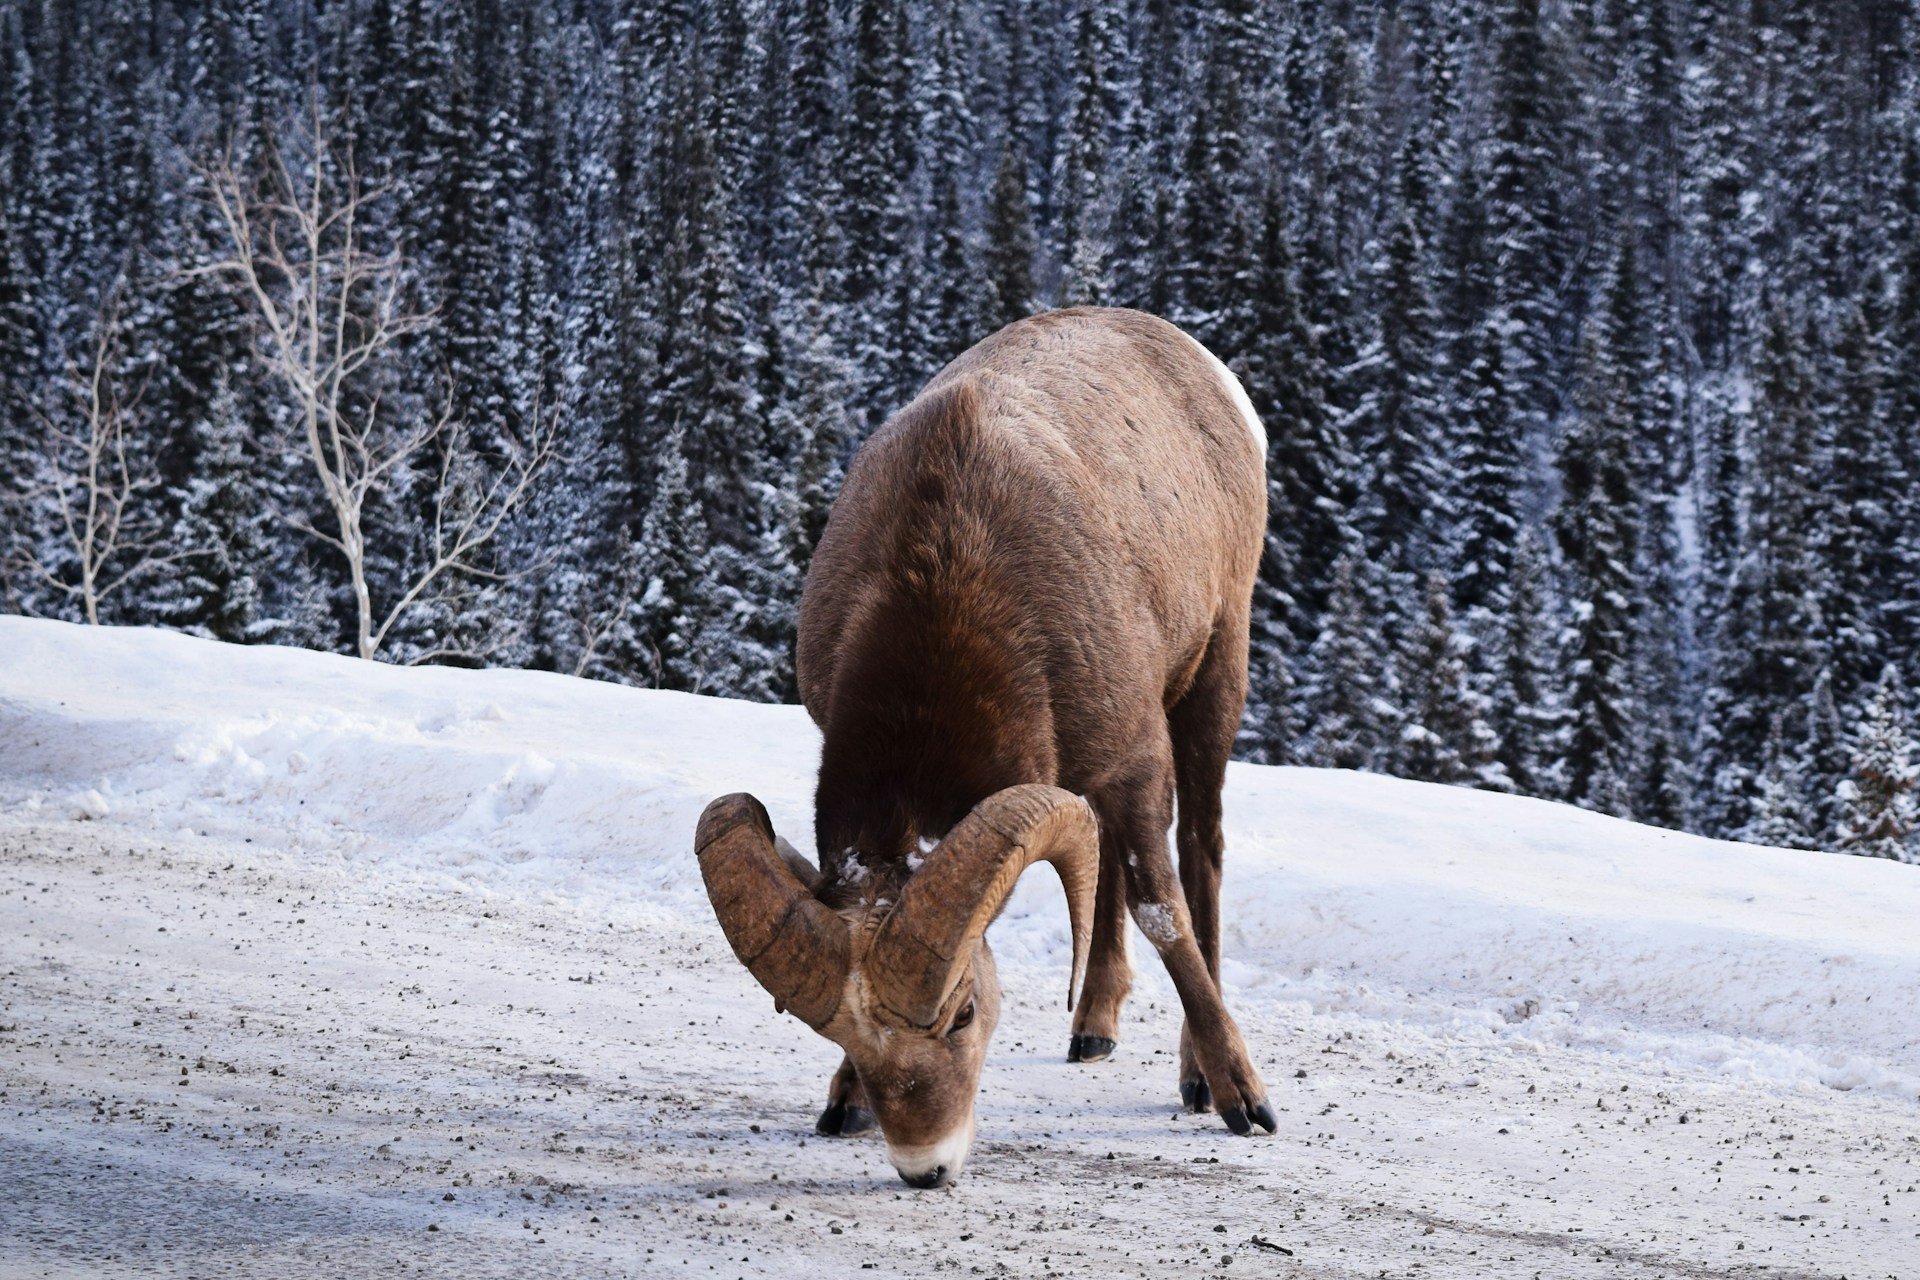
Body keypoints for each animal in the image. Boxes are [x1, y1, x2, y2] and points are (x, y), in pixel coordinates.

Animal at [696, 307, 1276, 1188]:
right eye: (836, 1036)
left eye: (965, 1012)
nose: (925, 1166)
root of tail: (1201, 365)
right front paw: (844, 1105)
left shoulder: (1139, 753)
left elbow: (1161, 909)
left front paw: (1241, 1098)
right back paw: (1092, 1028)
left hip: (1215, 673)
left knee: (1199, 858)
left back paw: (1194, 1076)